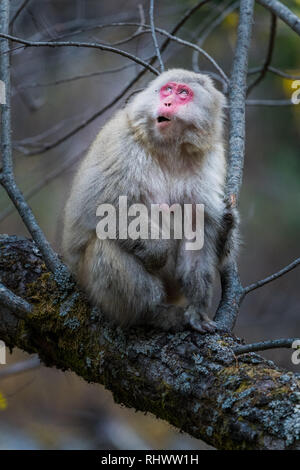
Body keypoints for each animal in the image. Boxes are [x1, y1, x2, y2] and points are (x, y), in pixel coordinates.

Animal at [62, 69, 238, 334]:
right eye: (167, 90)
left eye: (183, 93)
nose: (167, 102)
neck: (171, 150)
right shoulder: (122, 144)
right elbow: (97, 208)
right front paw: (157, 251)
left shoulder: (210, 160)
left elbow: (197, 229)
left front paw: (197, 311)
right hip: (91, 285)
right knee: (105, 241)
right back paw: (150, 313)